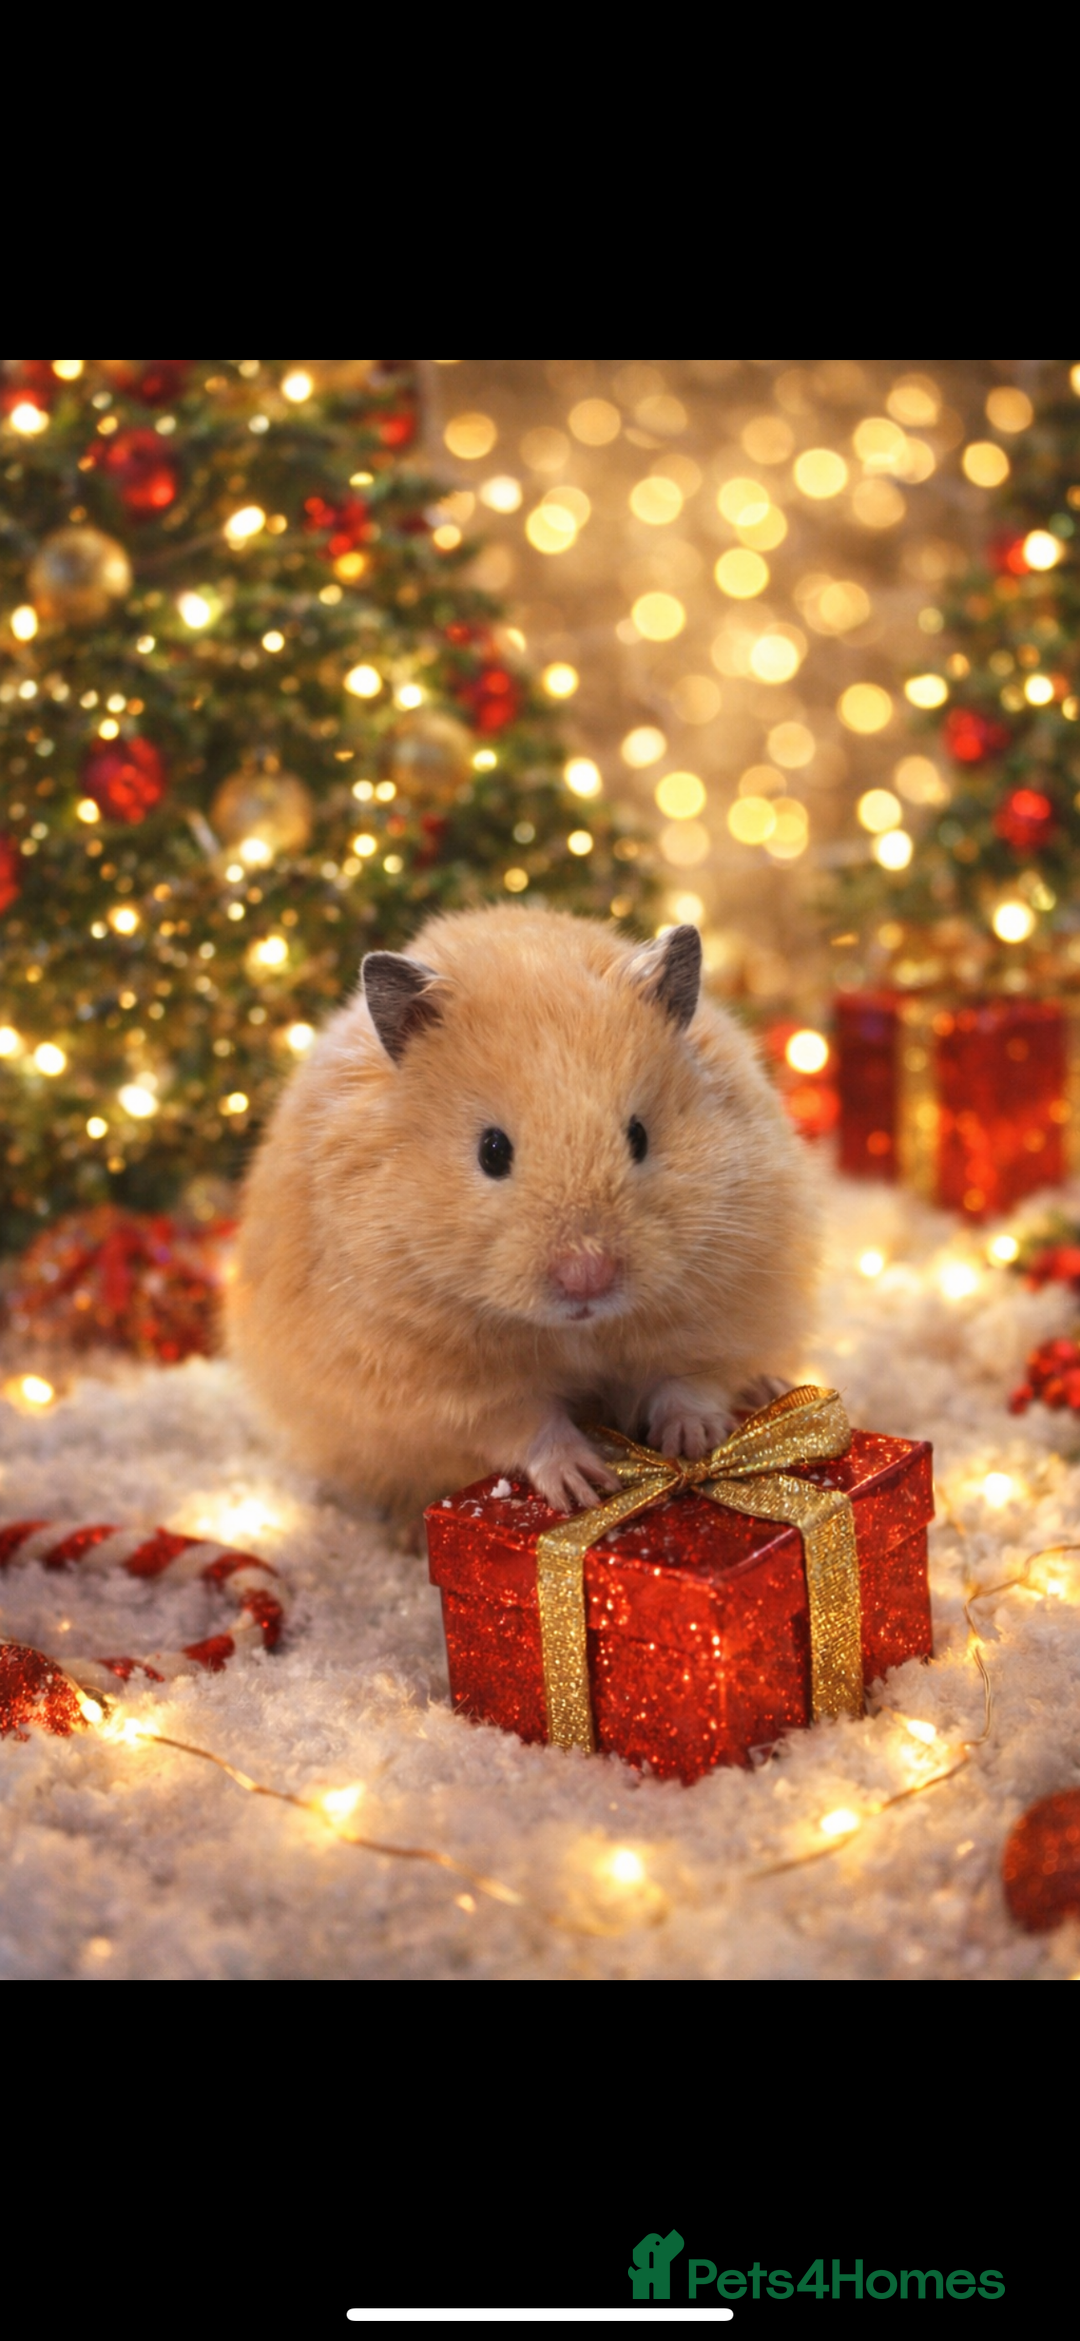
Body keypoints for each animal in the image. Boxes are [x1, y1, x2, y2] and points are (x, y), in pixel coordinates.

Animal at [228, 907, 820, 1520]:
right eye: (492, 1151)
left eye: (638, 1136)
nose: (587, 1277)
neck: (578, 1332)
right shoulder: (439, 1385)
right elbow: (528, 1426)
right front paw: (586, 1487)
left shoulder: (723, 1310)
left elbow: (688, 1383)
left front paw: (695, 1442)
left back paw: (765, 1390)